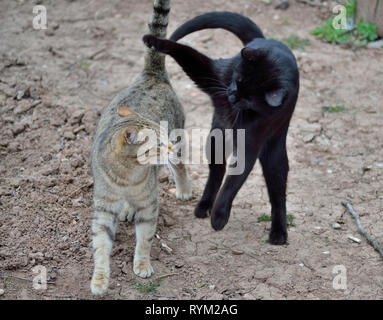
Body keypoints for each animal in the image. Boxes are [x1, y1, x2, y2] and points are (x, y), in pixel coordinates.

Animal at [90, 0, 192, 296]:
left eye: (163, 133)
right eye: (155, 142)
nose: (166, 143)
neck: (127, 177)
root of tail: (152, 74)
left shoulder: (149, 205)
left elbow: (144, 239)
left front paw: (143, 264)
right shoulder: (103, 209)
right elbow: (100, 246)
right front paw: (99, 280)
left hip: (179, 145)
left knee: (180, 167)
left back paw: (183, 190)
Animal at [144, 11, 300, 244]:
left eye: (250, 98)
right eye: (238, 79)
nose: (232, 95)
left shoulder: (250, 145)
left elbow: (233, 183)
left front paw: (219, 216)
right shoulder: (210, 73)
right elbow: (185, 52)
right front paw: (153, 41)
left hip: (274, 152)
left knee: (277, 192)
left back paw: (278, 232)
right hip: (215, 140)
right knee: (217, 172)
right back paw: (204, 205)